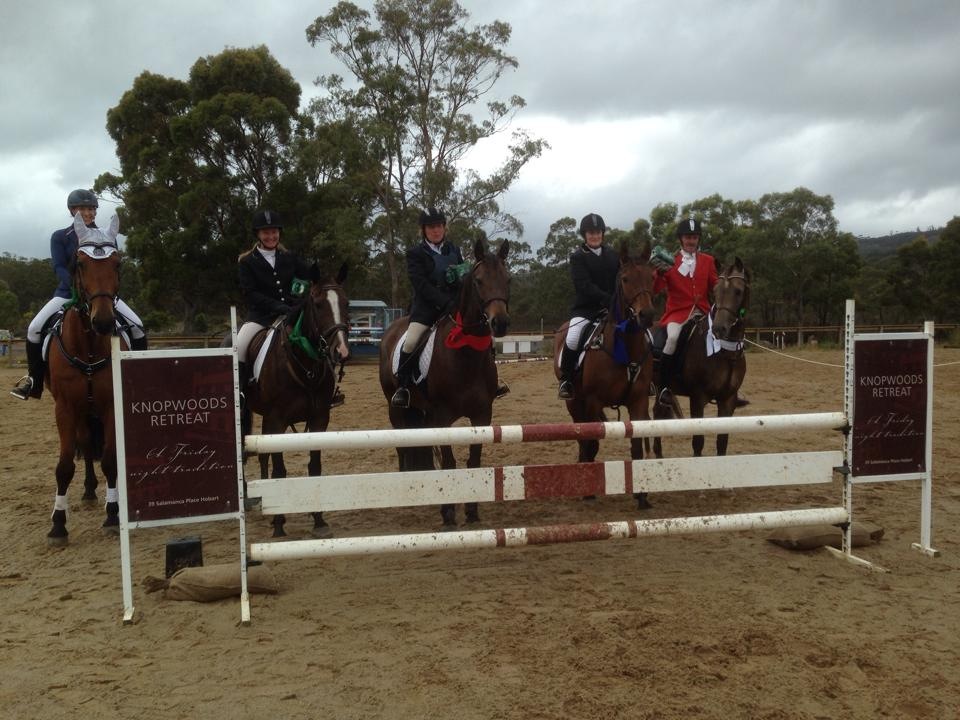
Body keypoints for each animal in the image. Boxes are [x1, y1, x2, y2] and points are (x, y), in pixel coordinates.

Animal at [244, 262, 350, 538]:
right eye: (318, 305)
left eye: (346, 303)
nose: (341, 351)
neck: (305, 364)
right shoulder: (277, 421)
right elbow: (280, 470)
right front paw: (279, 525)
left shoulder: (319, 419)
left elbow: (315, 468)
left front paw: (319, 520)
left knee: (263, 456)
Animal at [378, 238, 510, 529]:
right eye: (478, 281)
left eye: (508, 278)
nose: (501, 323)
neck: (465, 356)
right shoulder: (441, 417)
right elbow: (450, 462)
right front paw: (448, 513)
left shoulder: (482, 415)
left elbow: (474, 461)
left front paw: (471, 510)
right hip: (396, 407)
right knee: (403, 444)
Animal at [553, 241, 657, 508]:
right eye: (626, 279)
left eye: (652, 276)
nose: (647, 315)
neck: (625, 346)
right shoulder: (593, 401)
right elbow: (590, 441)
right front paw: (588, 488)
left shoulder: (639, 401)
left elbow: (637, 446)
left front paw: (642, 495)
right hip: (574, 402)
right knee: (581, 436)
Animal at [652, 257, 751, 458]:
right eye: (715, 290)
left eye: (738, 291)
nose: (719, 329)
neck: (725, 353)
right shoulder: (698, 398)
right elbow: (698, 441)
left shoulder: (728, 399)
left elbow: (722, 442)